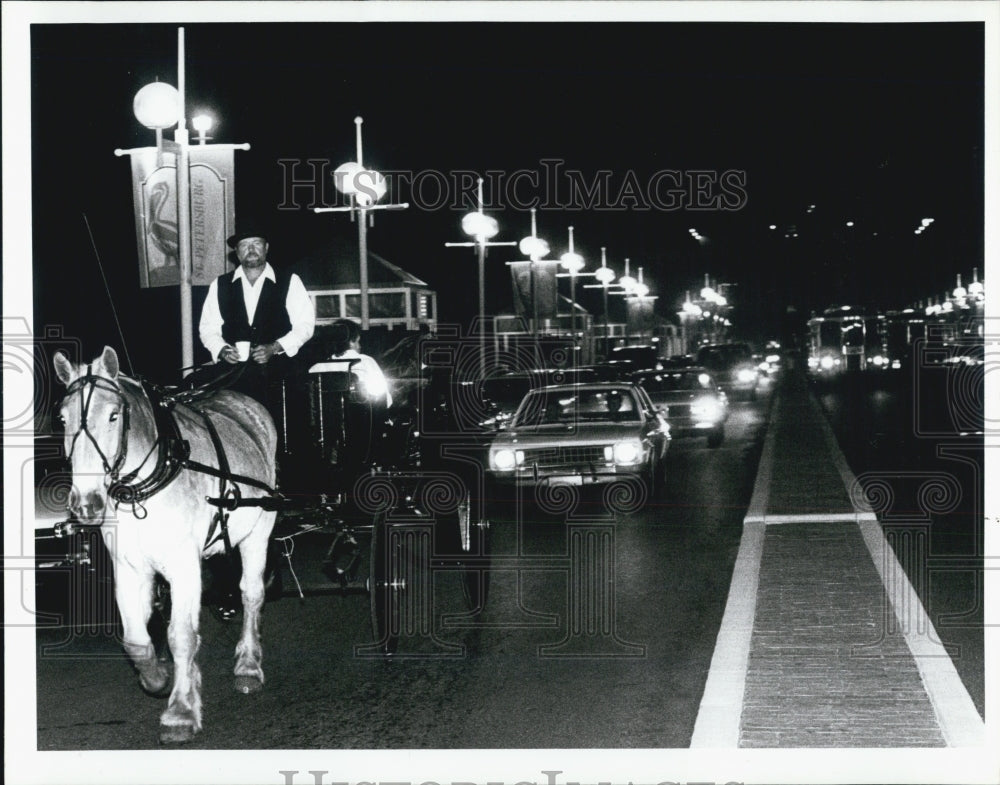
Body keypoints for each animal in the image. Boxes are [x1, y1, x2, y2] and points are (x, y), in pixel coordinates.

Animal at [56, 348, 280, 740]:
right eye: (63, 418)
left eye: (113, 415)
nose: (86, 503)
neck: (141, 490)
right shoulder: (130, 568)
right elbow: (135, 639)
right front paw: (159, 678)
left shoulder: (183, 565)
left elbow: (182, 636)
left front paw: (181, 712)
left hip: (260, 530)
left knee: (251, 594)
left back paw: (249, 666)